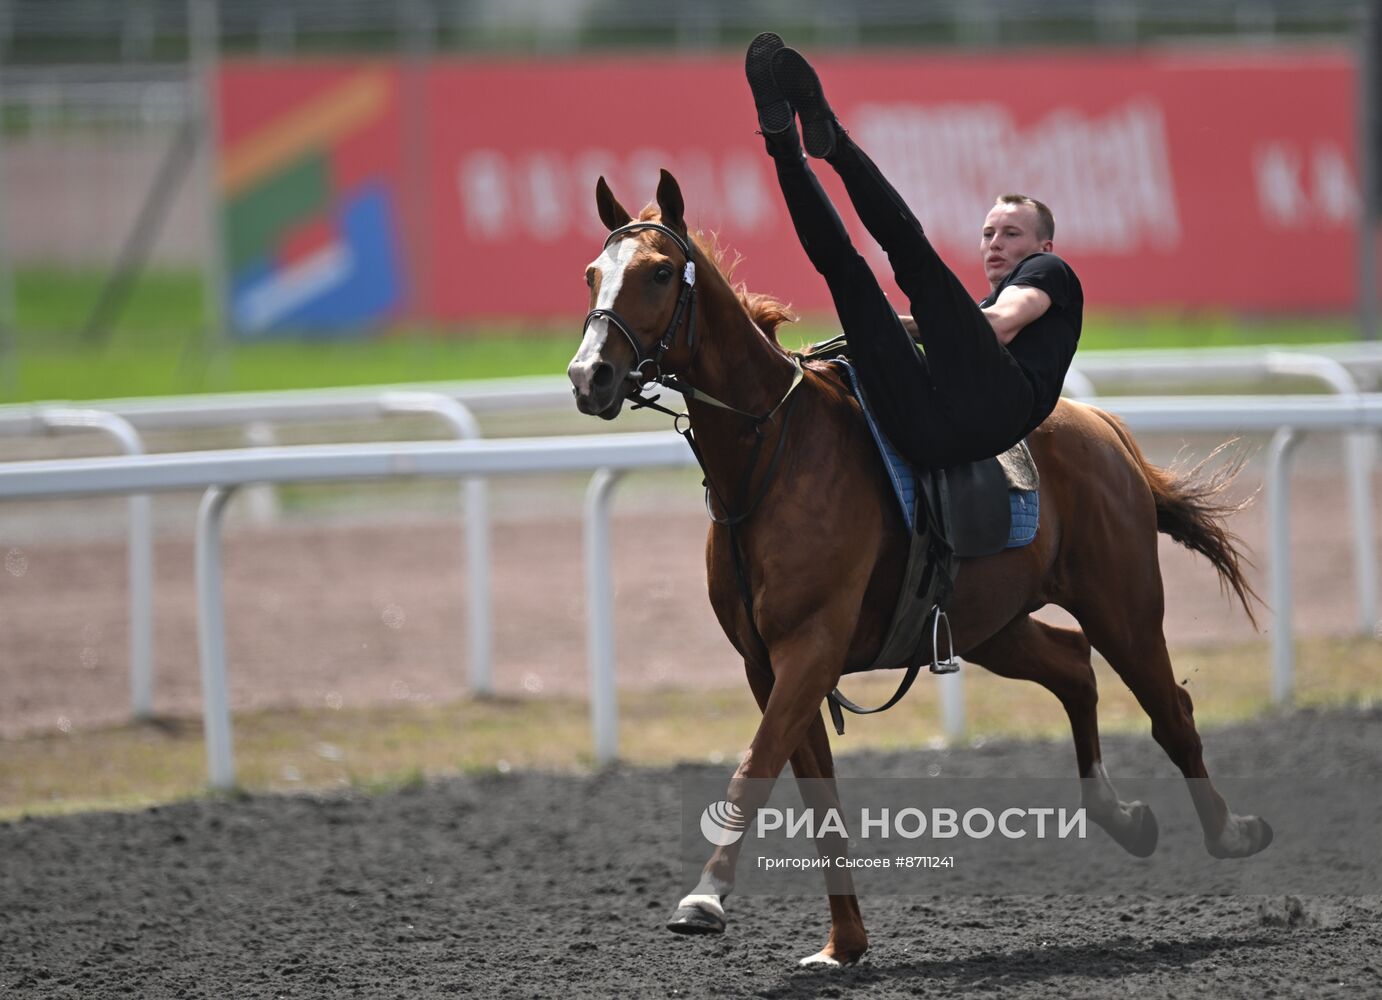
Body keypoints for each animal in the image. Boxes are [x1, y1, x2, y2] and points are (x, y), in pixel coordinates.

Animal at [563, 171, 1271, 966]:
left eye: (659, 272)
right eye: (591, 273)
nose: (589, 376)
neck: (772, 451)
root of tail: (1104, 428)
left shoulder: (811, 647)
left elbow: (756, 764)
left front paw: (705, 896)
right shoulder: (765, 663)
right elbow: (814, 790)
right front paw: (843, 943)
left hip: (1123, 606)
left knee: (1169, 709)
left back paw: (1232, 832)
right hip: (990, 623)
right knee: (1072, 666)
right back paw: (1120, 815)